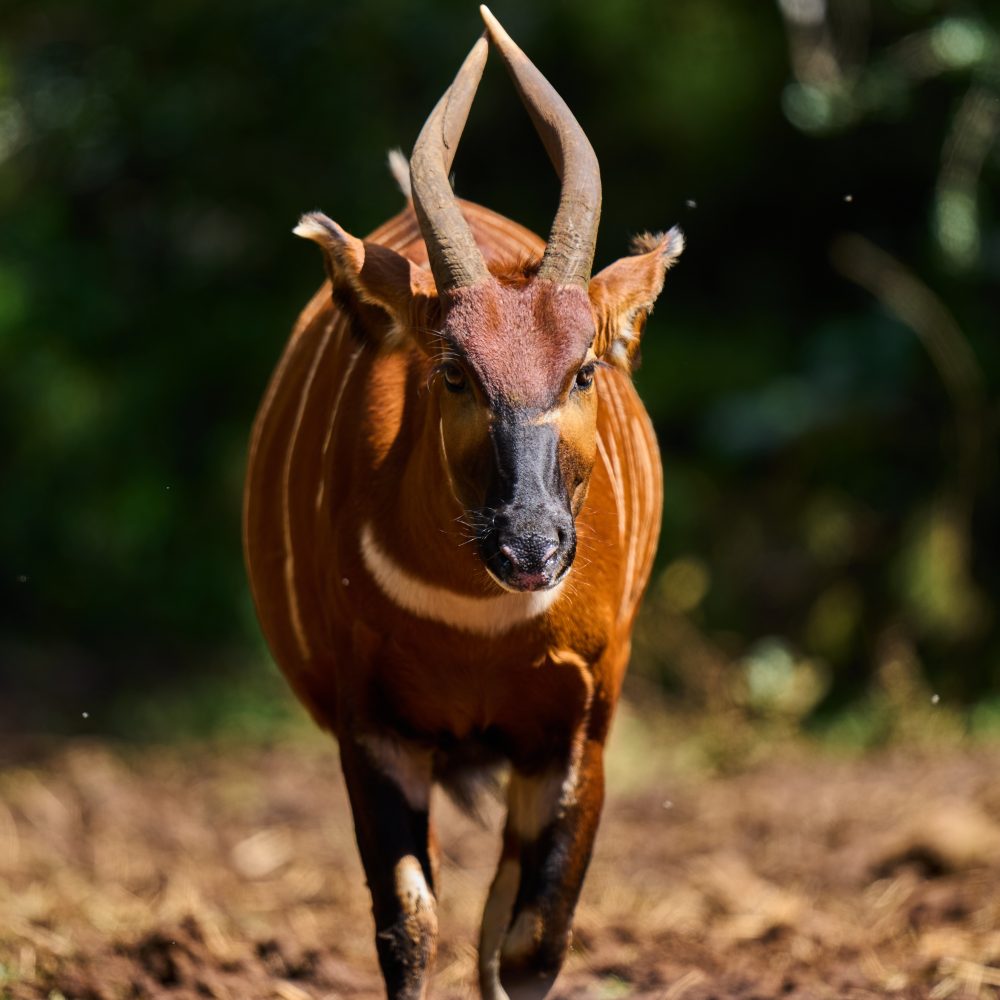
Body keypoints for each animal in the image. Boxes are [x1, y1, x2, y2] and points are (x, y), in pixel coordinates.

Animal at [243, 8, 682, 999]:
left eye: (584, 368)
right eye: (453, 372)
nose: (532, 547)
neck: (480, 617)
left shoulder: (578, 727)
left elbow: (530, 941)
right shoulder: (373, 726)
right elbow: (409, 927)